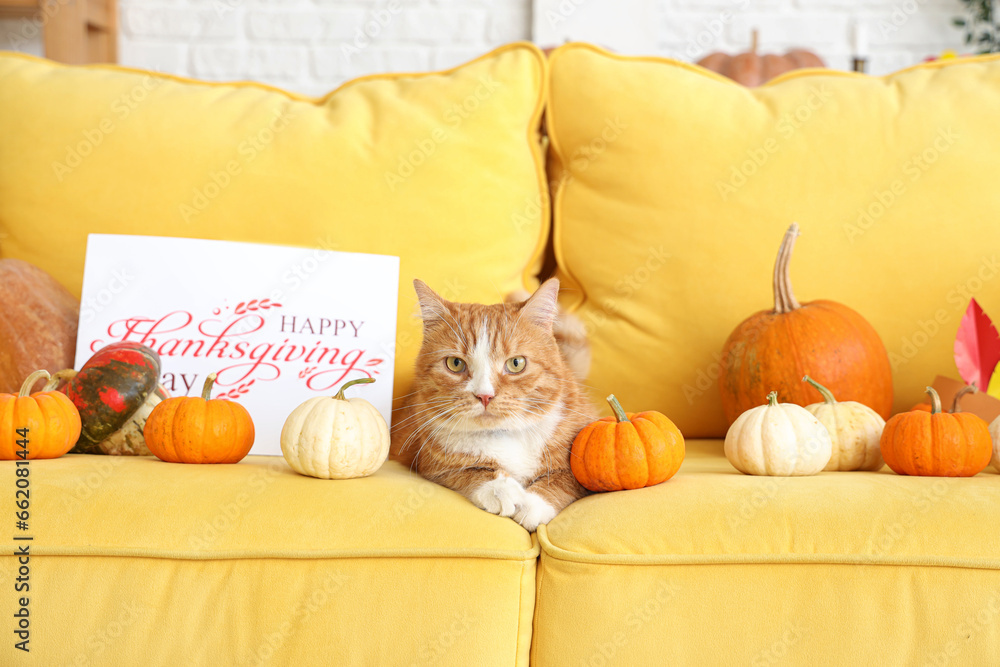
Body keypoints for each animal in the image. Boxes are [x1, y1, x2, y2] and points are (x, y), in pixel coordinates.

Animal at [388, 280, 592, 536]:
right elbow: (469, 471)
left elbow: (562, 480)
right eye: (455, 363)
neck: (505, 435)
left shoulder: (580, 463)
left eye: (516, 363)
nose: (484, 395)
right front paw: (500, 488)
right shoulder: (430, 463)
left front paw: (534, 504)